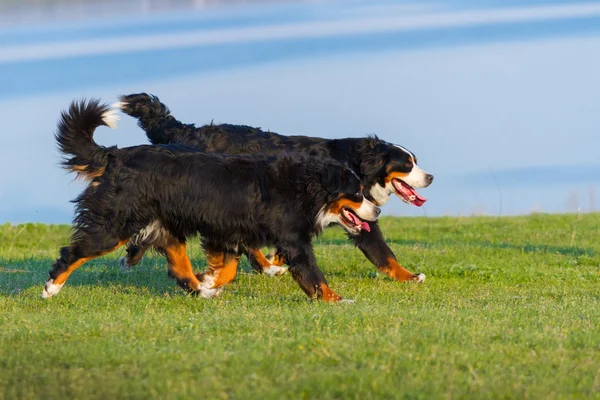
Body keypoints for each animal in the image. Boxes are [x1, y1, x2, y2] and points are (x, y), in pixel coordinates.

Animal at [43, 98, 380, 302]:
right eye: (357, 193)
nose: (376, 210)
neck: (302, 187)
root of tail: (115, 156)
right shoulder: (291, 240)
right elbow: (313, 276)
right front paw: (339, 301)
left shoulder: (228, 232)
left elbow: (227, 270)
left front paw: (209, 282)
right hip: (115, 225)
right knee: (74, 252)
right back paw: (51, 287)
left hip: (165, 227)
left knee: (179, 269)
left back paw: (200, 291)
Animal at [115, 93, 432, 282]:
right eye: (408, 164)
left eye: (416, 161)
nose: (430, 177)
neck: (357, 162)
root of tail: (187, 131)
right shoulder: (358, 215)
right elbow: (383, 252)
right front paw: (409, 277)